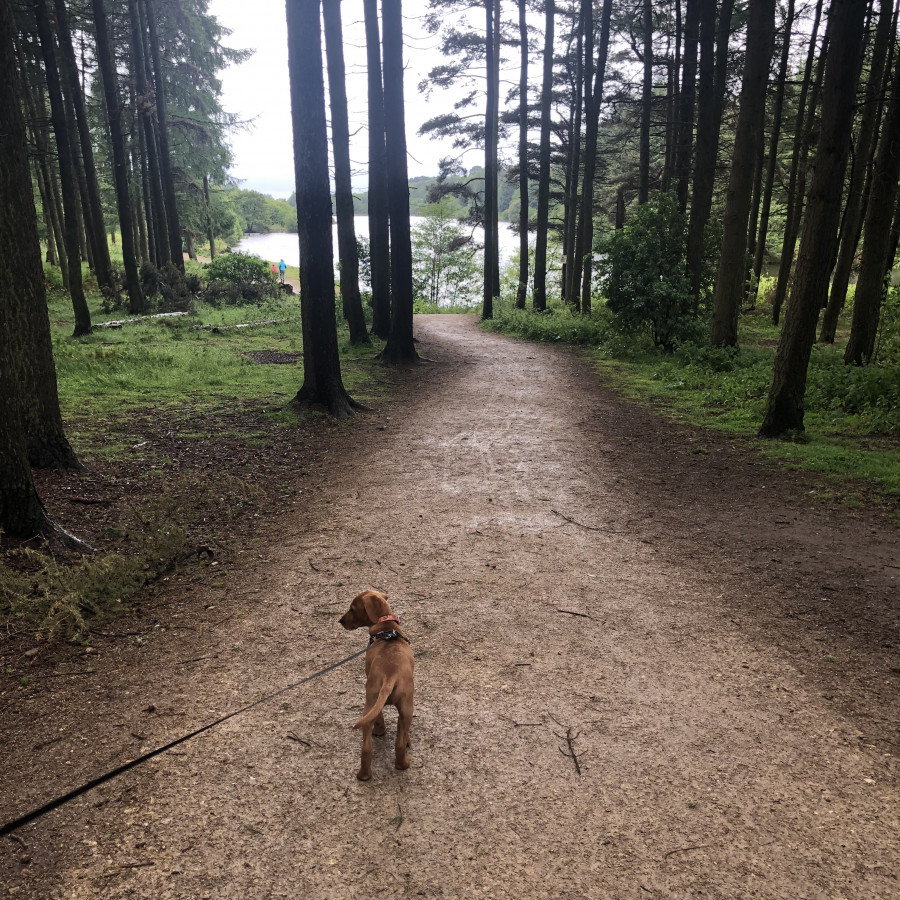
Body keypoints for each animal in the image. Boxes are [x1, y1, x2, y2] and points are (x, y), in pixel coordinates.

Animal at [338, 592, 414, 780]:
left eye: (352, 609)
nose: (340, 621)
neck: (386, 626)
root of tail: (390, 675)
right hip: (405, 707)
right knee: (396, 743)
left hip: (375, 702)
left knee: (368, 748)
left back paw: (365, 775)